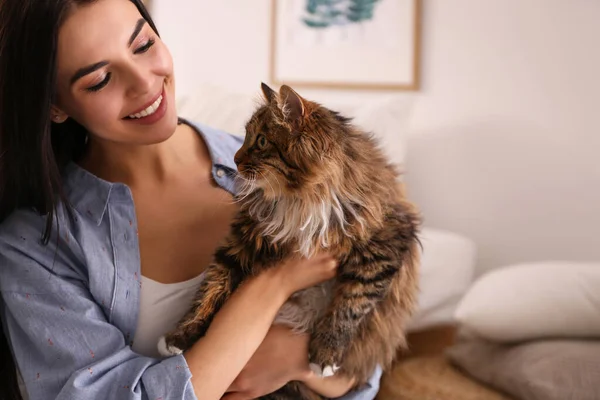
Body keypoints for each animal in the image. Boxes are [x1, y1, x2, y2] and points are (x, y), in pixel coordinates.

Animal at [162, 83, 420, 398]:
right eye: (245, 136)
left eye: (261, 141)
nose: (234, 159)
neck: (298, 201)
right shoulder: (242, 242)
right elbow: (210, 290)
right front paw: (180, 336)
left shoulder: (386, 243)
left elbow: (351, 303)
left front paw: (325, 354)